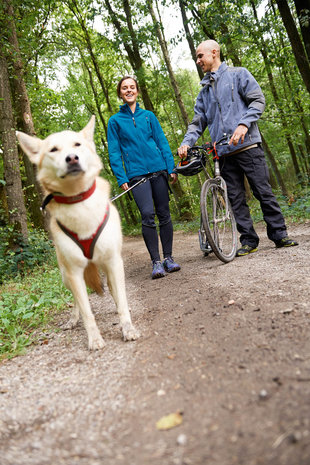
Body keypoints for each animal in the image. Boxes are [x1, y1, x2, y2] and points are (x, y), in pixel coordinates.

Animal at [15, 115, 139, 348]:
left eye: (77, 145)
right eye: (53, 149)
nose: (72, 158)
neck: (79, 203)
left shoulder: (113, 262)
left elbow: (121, 300)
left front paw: (127, 327)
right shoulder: (74, 272)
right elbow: (86, 310)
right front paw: (94, 339)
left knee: (114, 291)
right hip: (66, 275)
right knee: (76, 302)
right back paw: (73, 320)